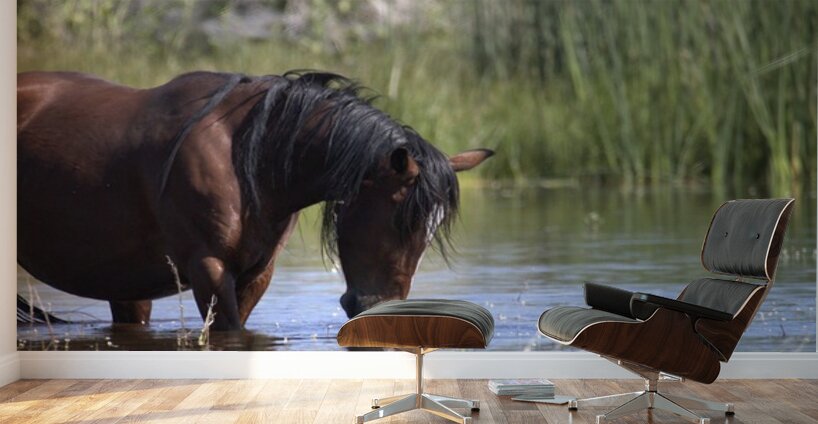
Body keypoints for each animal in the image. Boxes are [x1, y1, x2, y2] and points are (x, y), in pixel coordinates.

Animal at [17, 70, 492, 331]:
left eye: (429, 234)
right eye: (401, 222)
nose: (384, 312)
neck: (247, 156)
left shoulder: (256, 274)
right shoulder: (209, 269)